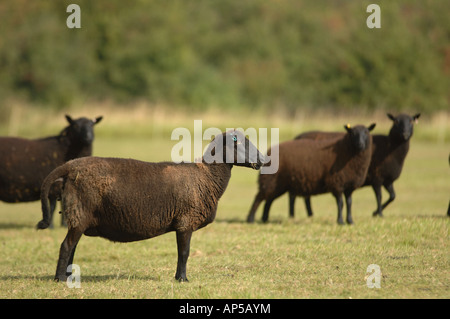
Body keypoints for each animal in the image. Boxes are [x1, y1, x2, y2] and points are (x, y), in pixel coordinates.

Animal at [38, 130, 266, 282]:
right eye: (239, 143)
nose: (264, 160)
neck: (206, 176)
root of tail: (70, 166)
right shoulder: (185, 221)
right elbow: (184, 253)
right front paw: (182, 279)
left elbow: (182, 253)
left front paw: (178, 278)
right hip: (80, 213)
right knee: (66, 246)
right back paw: (60, 279)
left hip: (78, 218)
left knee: (72, 247)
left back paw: (69, 276)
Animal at [246, 124, 376, 226]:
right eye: (352, 133)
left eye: (366, 132)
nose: (360, 145)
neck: (346, 151)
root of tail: (270, 150)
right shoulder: (336, 182)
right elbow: (341, 203)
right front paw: (340, 221)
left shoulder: (349, 185)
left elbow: (349, 203)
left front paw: (350, 221)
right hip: (270, 180)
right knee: (259, 198)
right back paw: (251, 219)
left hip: (279, 184)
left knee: (268, 200)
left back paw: (264, 219)